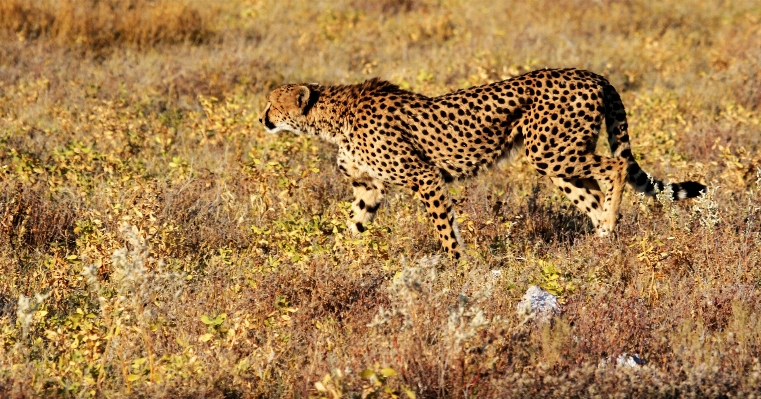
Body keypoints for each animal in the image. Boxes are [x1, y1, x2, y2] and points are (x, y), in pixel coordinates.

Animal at [258, 69, 704, 260]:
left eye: (271, 104)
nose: (262, 119)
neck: (332, 118)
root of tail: (591, 73)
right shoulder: (369, 187)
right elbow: (354, 225)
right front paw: (330, 262)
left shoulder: (424, 176)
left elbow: (445, 231)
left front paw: (458, 268)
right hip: (554, 160)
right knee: (593, 194)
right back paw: (603, 242)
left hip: (552, 149)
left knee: (615, 168)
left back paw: (609, 227)